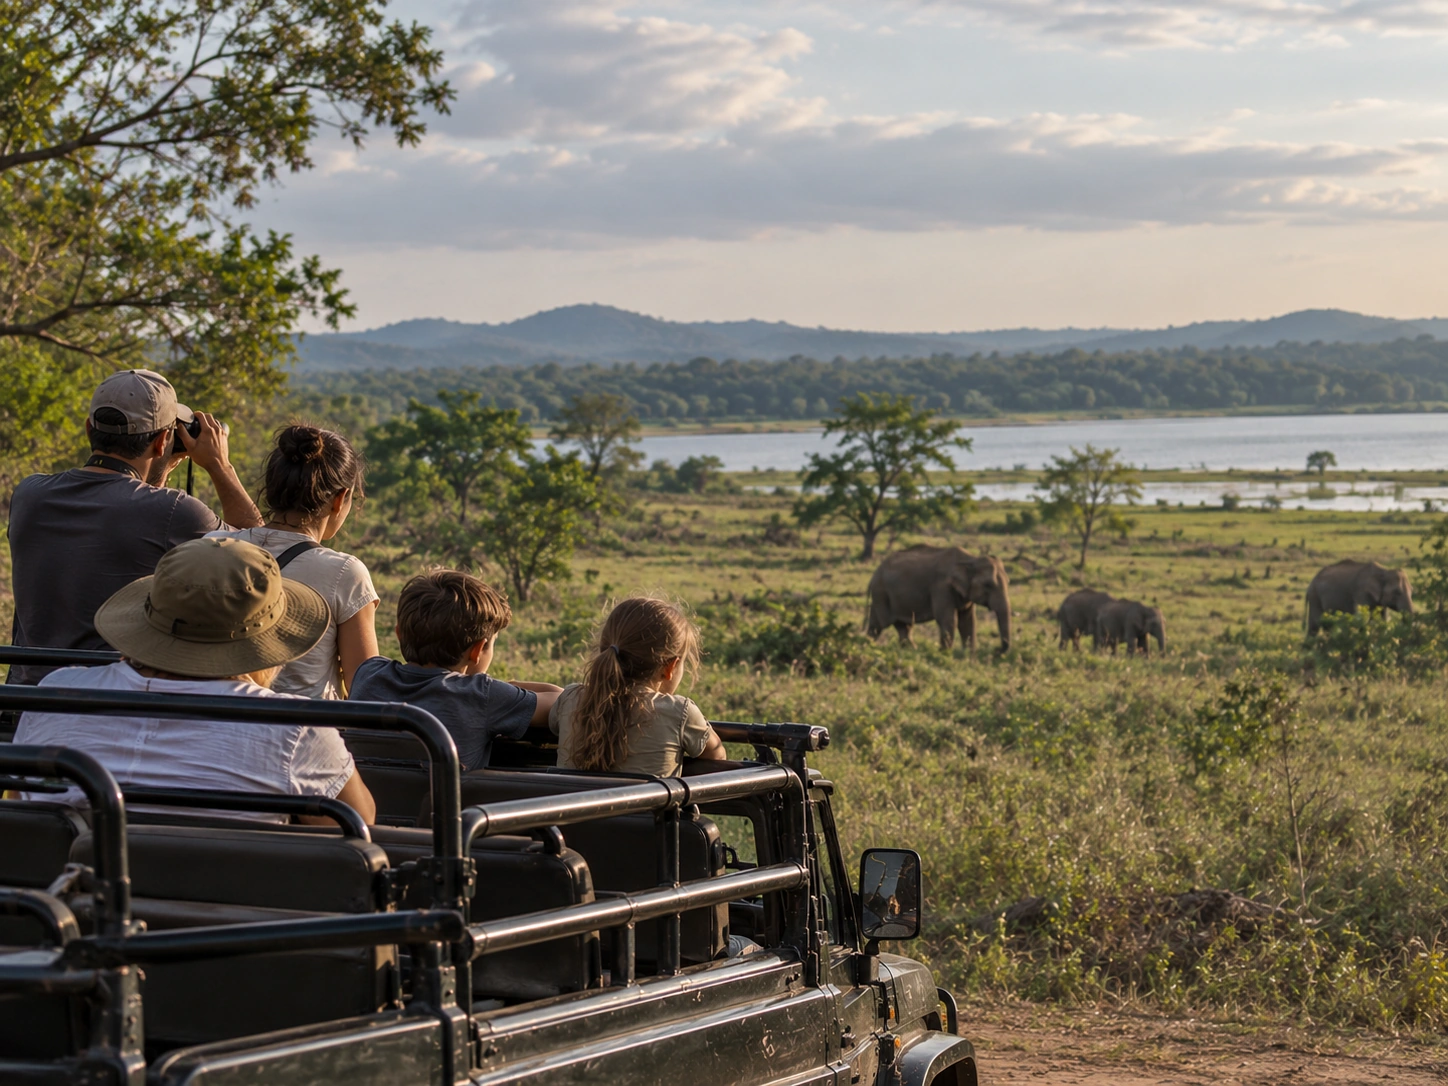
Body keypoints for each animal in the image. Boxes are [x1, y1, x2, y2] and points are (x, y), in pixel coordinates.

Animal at [865, 545, 1011, 652]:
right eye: (988, 585)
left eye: (1008, 582)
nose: (997, 651)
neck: (971, 559)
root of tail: (874, 575)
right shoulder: (941, 587)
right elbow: (948, 618)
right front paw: (945, 654)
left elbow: (967, 620)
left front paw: (968, 657)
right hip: (881, 594)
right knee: (880, 624)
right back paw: (869, 646)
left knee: (901, 626)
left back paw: (911, 650)